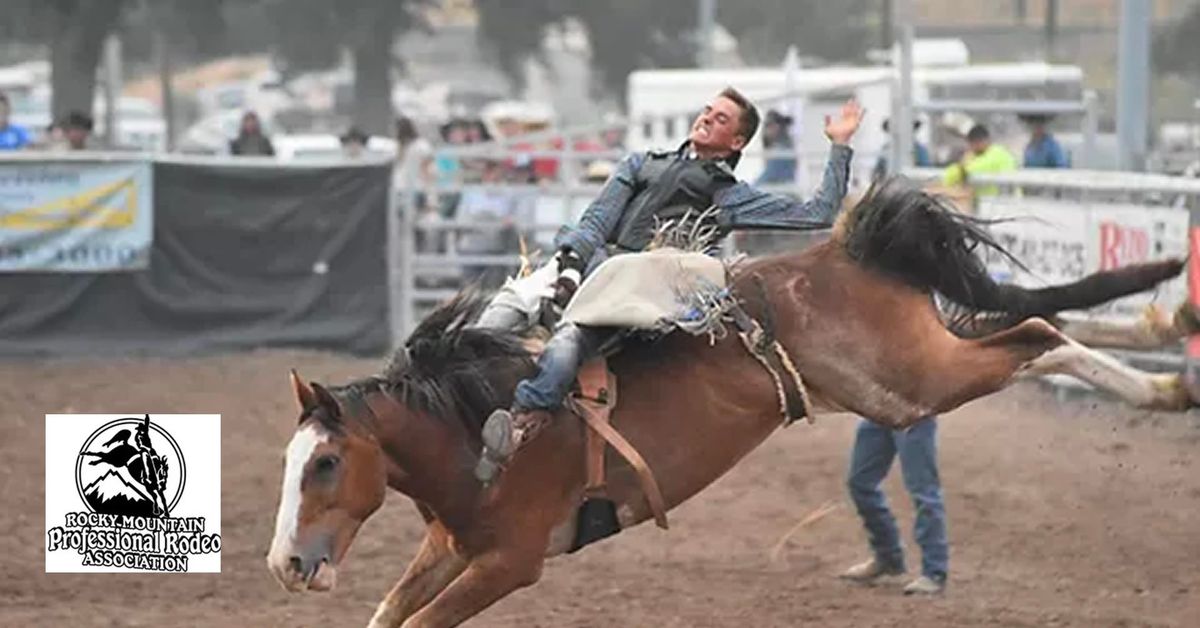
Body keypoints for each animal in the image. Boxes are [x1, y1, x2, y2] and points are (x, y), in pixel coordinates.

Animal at [265, 178, 1190, 624]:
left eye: (326, 462)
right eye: (292, 460)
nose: (286, 564)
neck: (471, 429)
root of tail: (844, 252)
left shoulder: (510, 562)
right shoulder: (452, 547)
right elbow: (389, 613)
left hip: (907, 384)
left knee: (1034, 330)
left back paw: (1168, 382)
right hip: (904, 376)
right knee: (1033, 318)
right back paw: (1168, 321)